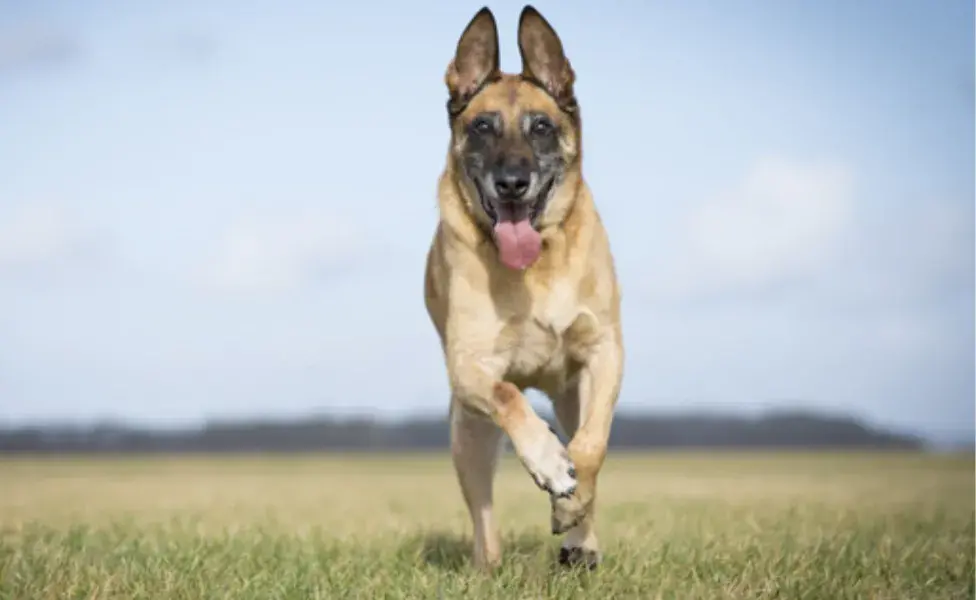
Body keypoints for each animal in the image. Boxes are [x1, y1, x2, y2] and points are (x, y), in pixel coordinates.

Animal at [422, 3, 620, 568]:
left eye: (542, 128)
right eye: (482, 127)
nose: (513, 183)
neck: (536, 267)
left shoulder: (605, 351)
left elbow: (592, 447)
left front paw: (570, 506)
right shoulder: (469, 366)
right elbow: (508, 394)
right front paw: (548, 461)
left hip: (571, 395)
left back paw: (581, 544)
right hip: (468, 432)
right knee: (483, 517)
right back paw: (487, 565)